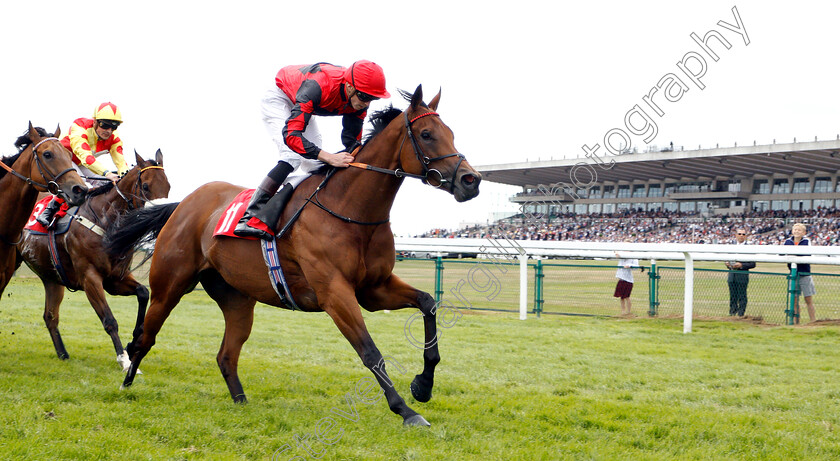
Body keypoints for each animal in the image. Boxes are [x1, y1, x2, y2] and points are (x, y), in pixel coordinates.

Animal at [16, 151, 171, 370]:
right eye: (146, 186)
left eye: (168, 185)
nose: (164, 221)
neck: (105, 220)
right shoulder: (90, 278)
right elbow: (109, 320)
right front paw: (123, 359)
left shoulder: (115, 279)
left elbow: (143, 292)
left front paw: (133, 343)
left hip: (51, 277)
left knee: (50, 316)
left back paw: (63, 353)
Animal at [108, 85, 482, 424]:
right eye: (426, 134)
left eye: (450, 133)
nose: (471, 180)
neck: (349, 208)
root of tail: (183, 204)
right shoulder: (335, 293)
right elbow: (370, 351)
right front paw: (405, 410)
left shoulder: (373, 289)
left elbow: (427, 304)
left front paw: (423, 386)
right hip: (169, 286)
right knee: (145, 337)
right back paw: (126, 384)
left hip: (237, 298)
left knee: (226, 355)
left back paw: (241, 402)